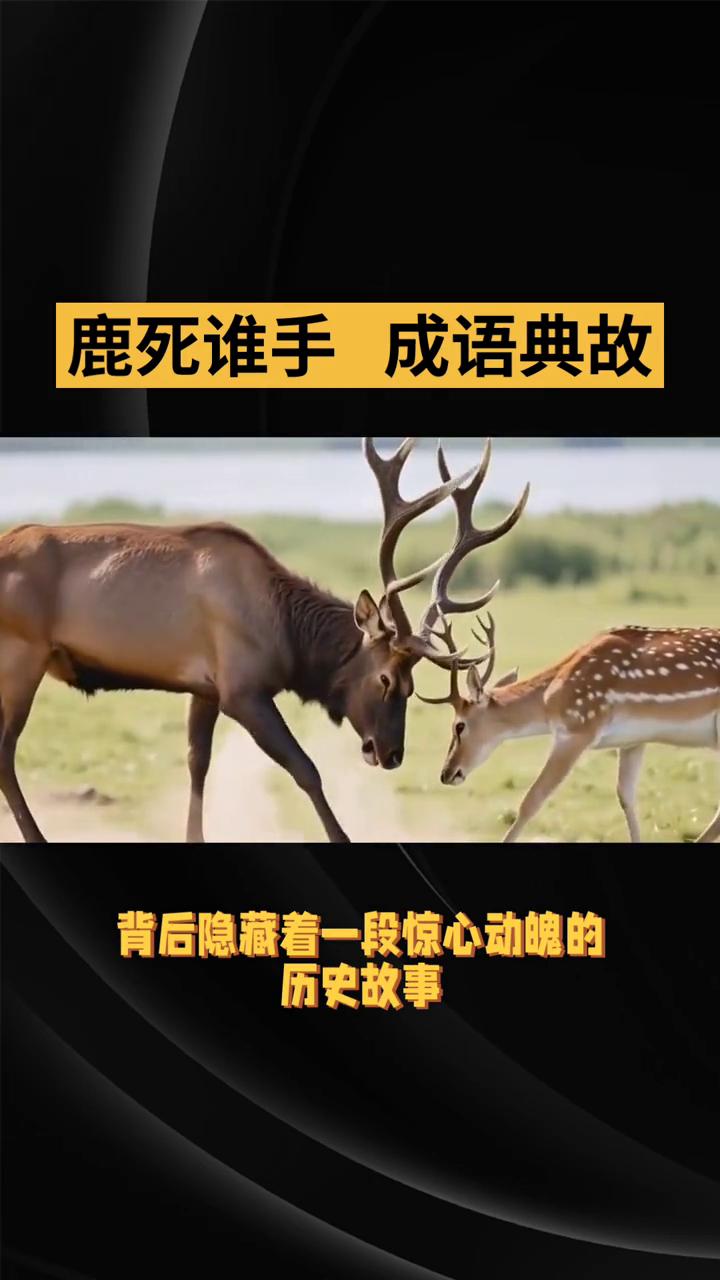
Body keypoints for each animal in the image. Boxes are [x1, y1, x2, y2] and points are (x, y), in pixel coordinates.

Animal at [0, 438, 529, 845]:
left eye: (413, 688)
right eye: (384, 679)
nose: (390, 754)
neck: (288, 638)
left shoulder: (205, 688)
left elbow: (197, 764)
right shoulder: (243, 690)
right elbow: (305, 769)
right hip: (21, 658)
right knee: (6, 752)